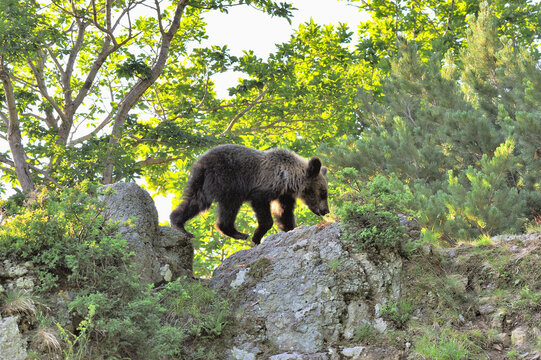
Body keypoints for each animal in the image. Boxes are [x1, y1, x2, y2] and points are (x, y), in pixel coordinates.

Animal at [170, 144, 330, 245]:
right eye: (323, 193)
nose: (325, 211)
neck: (288, 178)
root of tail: (203, 160)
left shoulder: (284, 195)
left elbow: (284, 213)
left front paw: (289, 229)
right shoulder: (265, 186)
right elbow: (263, 208)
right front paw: (256, 237)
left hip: (201, 181)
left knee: (195, 201)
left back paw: (179, 224)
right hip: (228, 179)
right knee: (229, 205)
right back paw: (238, 233)